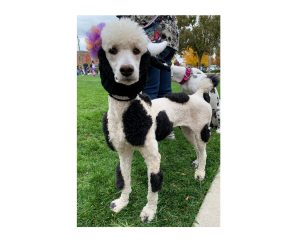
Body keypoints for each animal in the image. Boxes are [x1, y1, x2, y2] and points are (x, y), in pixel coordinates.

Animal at [98, 18, 218, 223]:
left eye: (137, 51)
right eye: (112, 50)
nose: (127, 70)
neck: (127, 112)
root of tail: (198, 94)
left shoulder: (153, 157)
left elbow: (153, 184)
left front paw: (149, 211)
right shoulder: (123, 153)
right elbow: (124, 179)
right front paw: (122, 203)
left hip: (202, 131)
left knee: (204, 152)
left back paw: (200, 172)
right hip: (188, 131)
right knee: (198, 149)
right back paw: (196, 162)